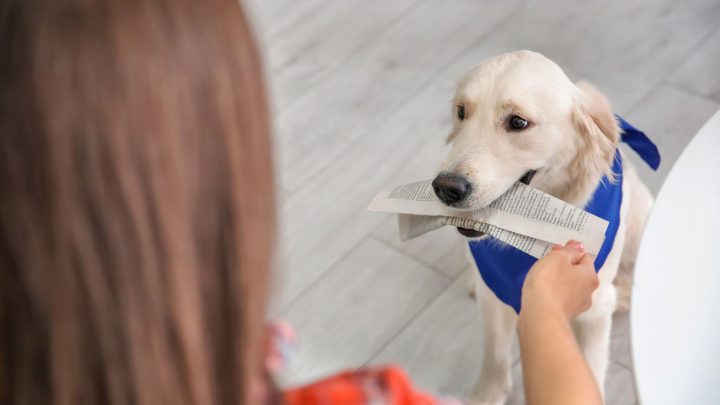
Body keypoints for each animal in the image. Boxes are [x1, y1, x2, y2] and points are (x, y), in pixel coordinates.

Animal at [434, 51, 660, 404]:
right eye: (461, 111)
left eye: (518, 122)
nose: (445, 188)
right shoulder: (493, 298)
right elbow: (494, 352)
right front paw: (487, 393)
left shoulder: (595, 310)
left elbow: (591, 367)